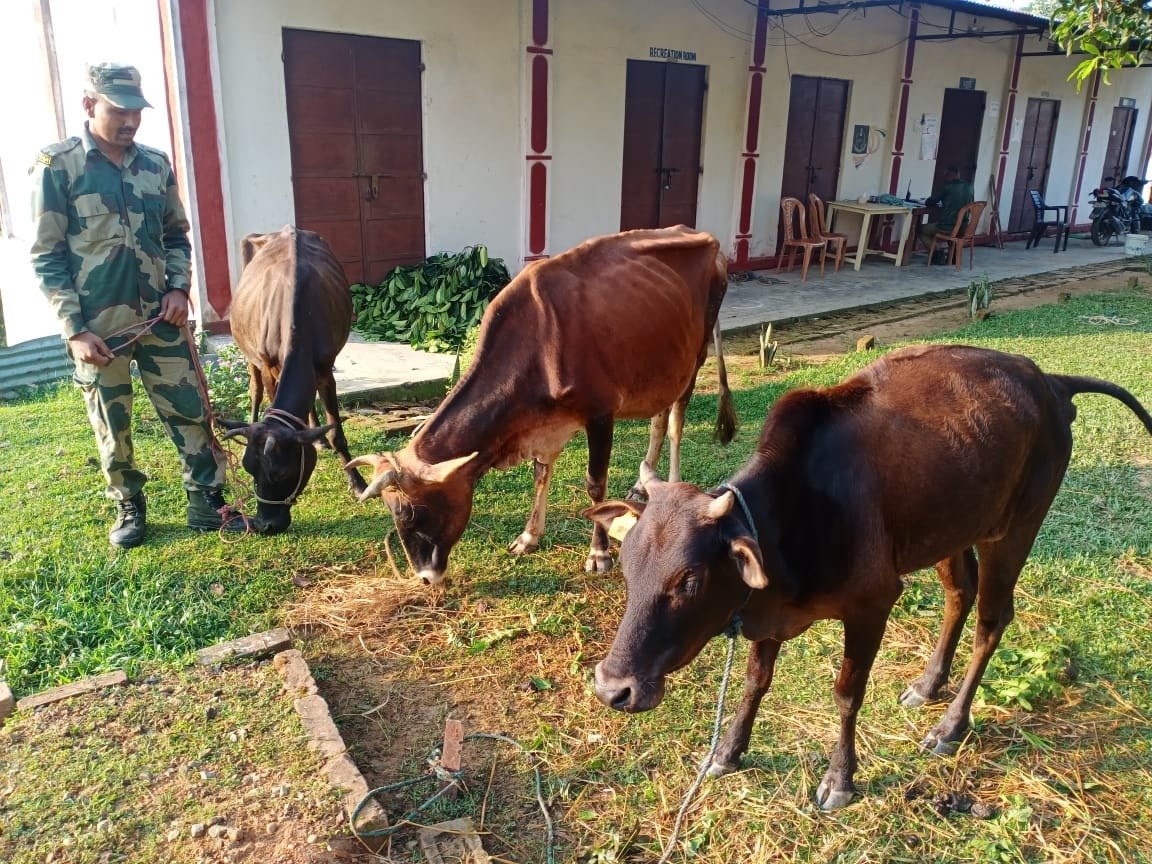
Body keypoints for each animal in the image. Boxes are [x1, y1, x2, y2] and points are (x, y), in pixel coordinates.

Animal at [217, 226, 366, 534]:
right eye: (248, 468)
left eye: (281, 472)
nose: (264, 525)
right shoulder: (268, 366)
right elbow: (268, 396)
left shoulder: (325, 368)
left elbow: (336, 434)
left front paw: (357, 483)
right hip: (248, 353)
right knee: (254, 390)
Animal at [349, 225, 737, 586]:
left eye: (409, 512)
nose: (425, 577)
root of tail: (705, 238)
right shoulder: (544, 423)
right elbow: (541, 473)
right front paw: (528, 536)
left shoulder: (600, 413)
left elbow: (595, 485)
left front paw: (599, 554)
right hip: (662, 368)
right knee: (658, 419)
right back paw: (644, 486)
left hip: (694, 359)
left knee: (675, 424)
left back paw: (668, 485)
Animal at [584, 344, 1152, 810]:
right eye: (628, 571)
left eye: (689, 581)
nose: (614, 689)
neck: (798, 511)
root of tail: (1049, 382)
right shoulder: (766, 614)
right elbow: (755, 681)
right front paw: (728, 752)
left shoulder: (872, 605)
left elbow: (846, 694)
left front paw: (840, 779)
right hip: (949, 530)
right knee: (959, 594)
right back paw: (928, 685)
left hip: (1014, 531)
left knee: (991, 622)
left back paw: (950, 726)